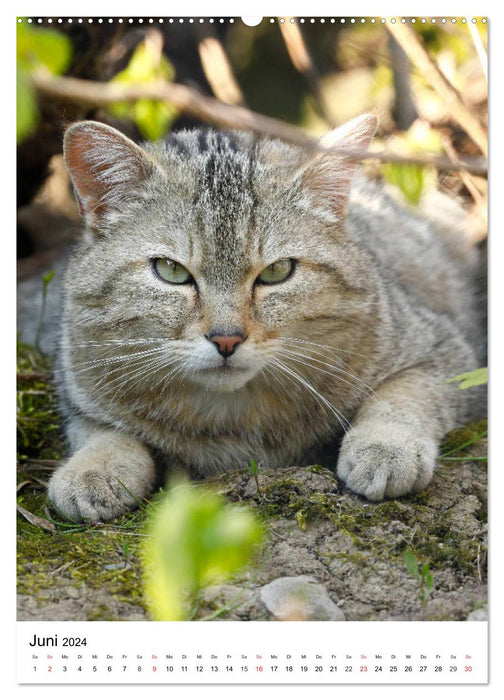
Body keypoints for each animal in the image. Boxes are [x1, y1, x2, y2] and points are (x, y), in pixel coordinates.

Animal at [48, 115, 484, 520]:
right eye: (171, 271)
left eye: (277, 272)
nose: (226, 339)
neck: (232, 418)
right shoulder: (78, 387)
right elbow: (102, 432)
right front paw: (94, 468)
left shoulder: (444, 350)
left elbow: (400, 397)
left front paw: (385, 446)